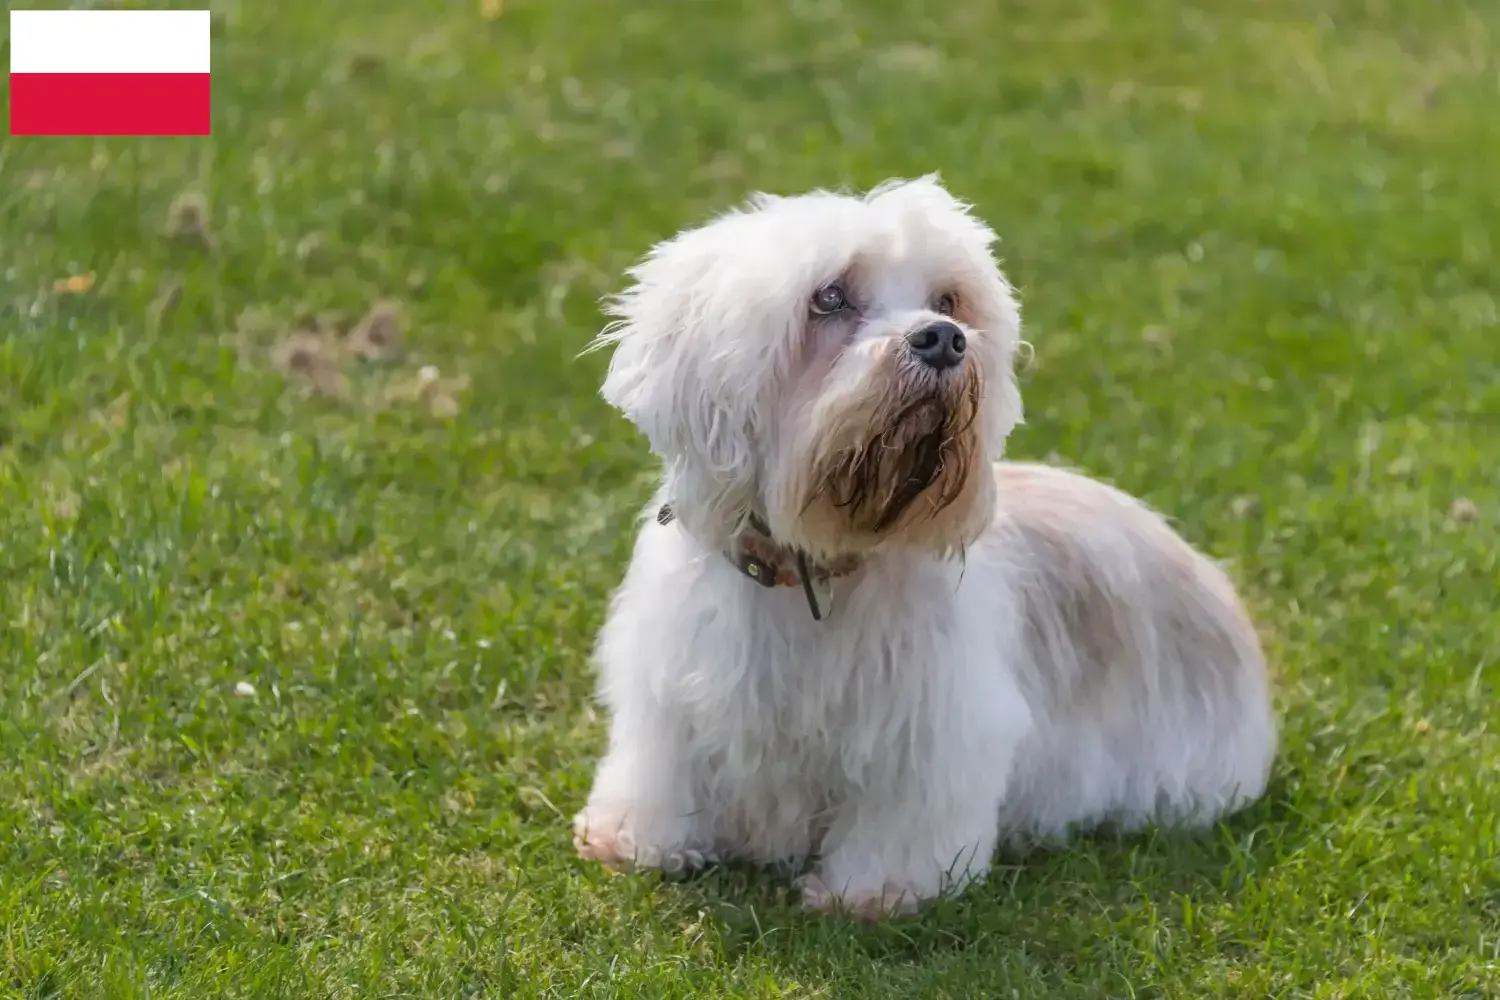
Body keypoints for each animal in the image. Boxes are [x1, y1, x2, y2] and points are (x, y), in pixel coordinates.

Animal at [567, 176, 1272, 917]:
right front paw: (638, 840)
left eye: (949, 301)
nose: (943, 340)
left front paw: (875, 892)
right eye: (829, 296)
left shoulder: (931, 727)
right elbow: (661, 772)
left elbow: (900, 818)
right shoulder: (669, 697)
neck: (813, 571)